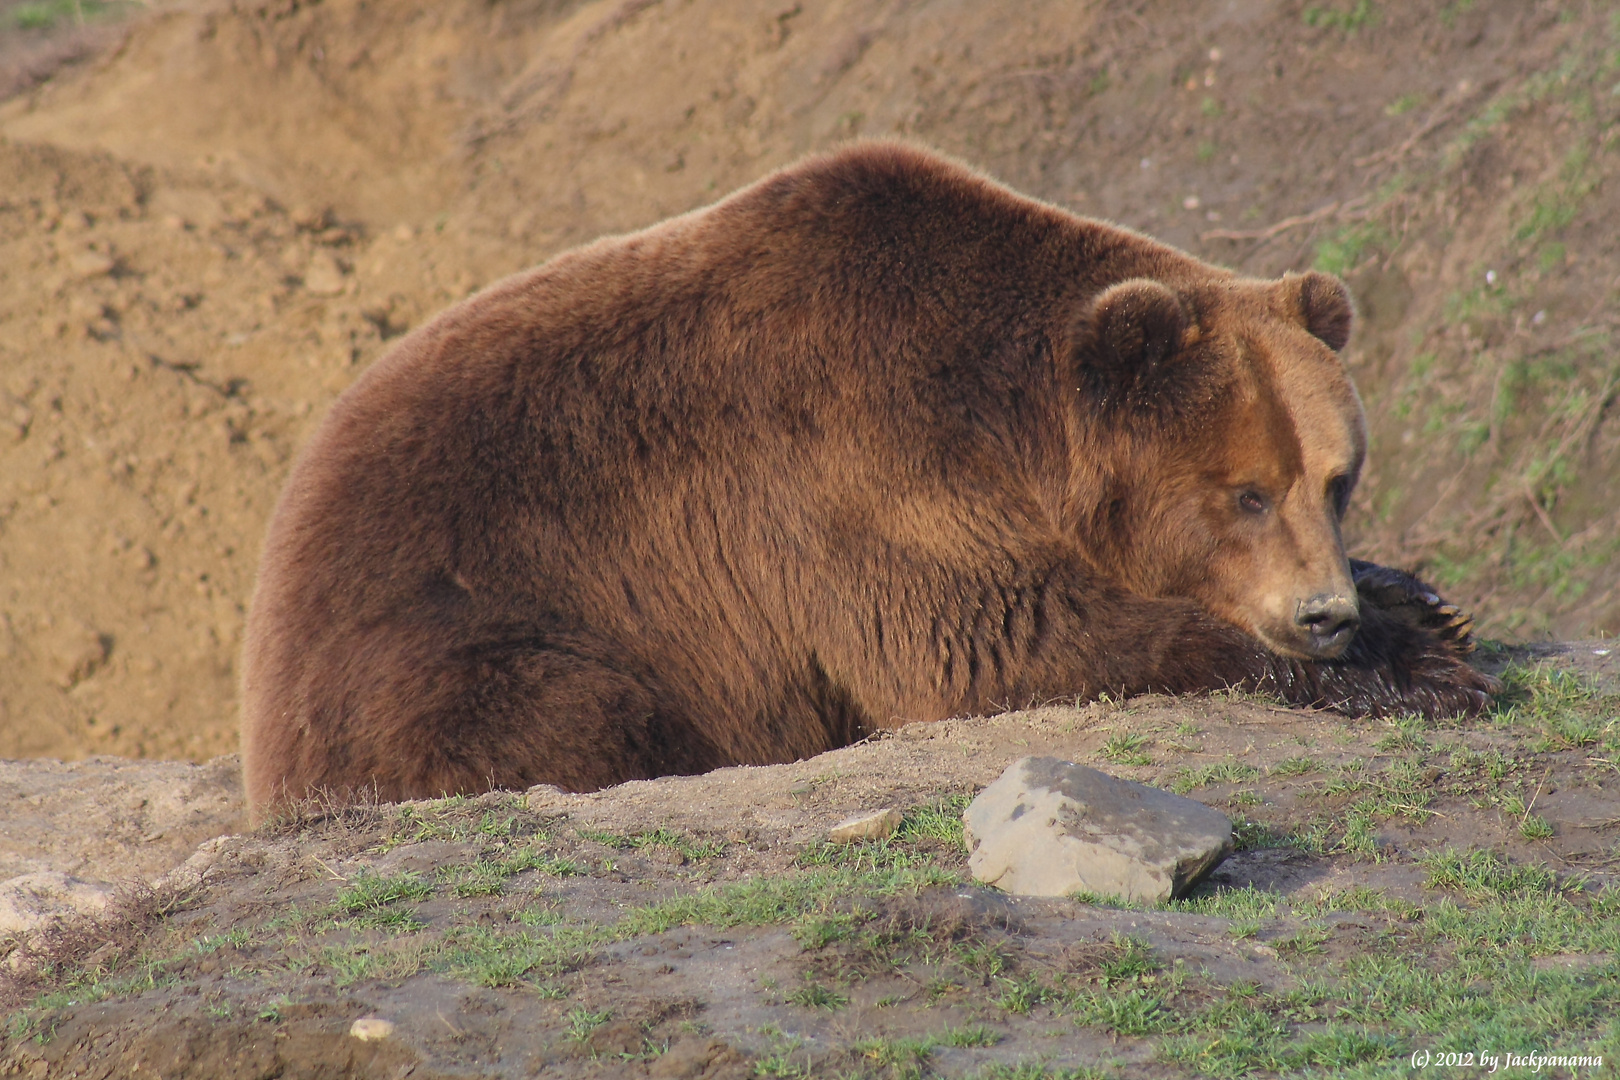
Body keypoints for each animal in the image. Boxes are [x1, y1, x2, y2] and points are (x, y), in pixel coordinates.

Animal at [236, 141, 1490, 819]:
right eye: (1243, 491)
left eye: (1337, 477)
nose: (1321, 613)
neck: (1013, 431)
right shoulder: (846, 477)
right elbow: (996, 641)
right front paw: (1415, 662)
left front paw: (1422, 601)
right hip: (446, 646)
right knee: (572, 712)